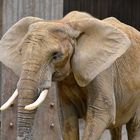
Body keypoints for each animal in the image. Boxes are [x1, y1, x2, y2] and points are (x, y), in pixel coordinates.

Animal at [0, 11, 140, 140]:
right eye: (20, 52)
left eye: (56, 55)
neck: (66, 24)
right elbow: (67, 119)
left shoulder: (102, 71)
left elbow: (101, 113)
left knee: (134, 126)